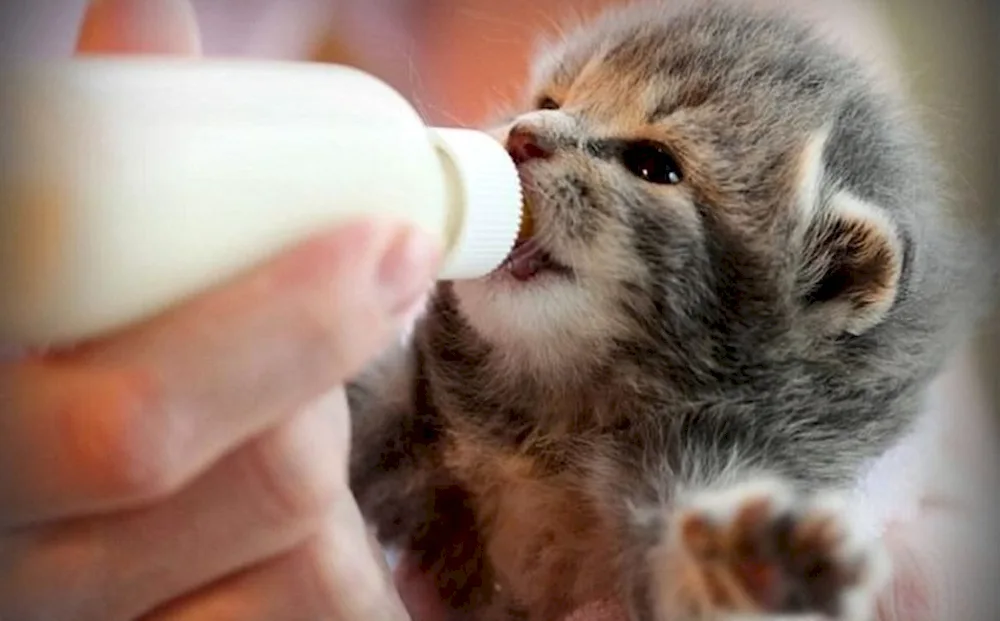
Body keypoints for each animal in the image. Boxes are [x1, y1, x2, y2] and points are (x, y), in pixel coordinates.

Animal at [348, 1, 980, 620]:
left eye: (654, 165)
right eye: (549, 103)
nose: (522, 137)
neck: (550, 430)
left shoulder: (721, 448)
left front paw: (747, 561)